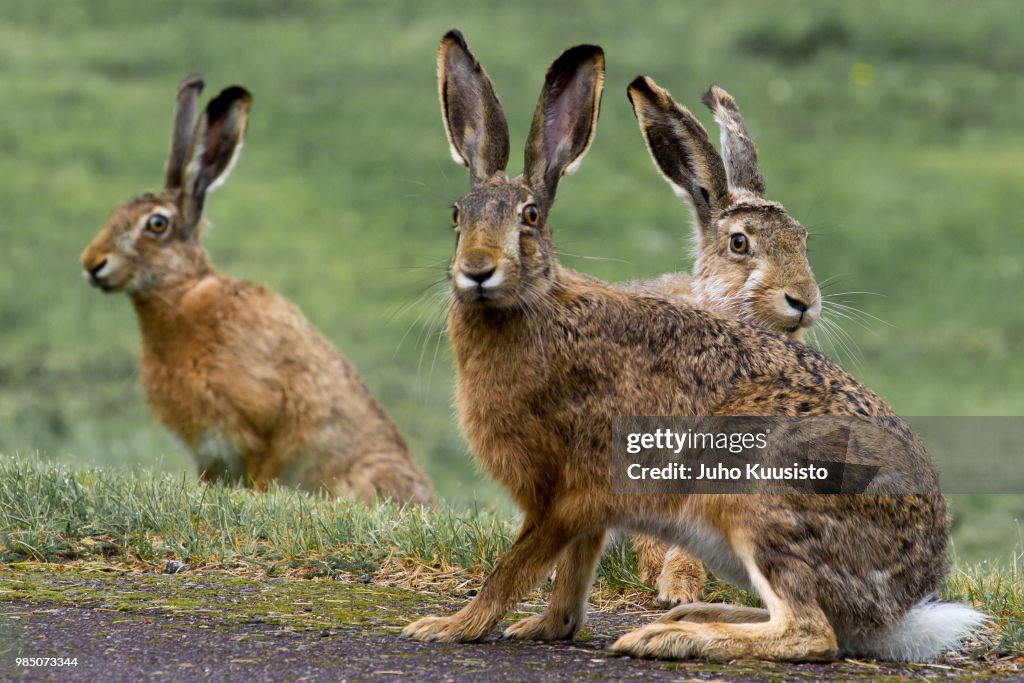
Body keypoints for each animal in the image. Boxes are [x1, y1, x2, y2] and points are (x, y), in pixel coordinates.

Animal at [79, 75, 434, 506]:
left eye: (157, 224)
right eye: (115, 213)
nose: (91, 264)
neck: (182, 293)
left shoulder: (264, 431)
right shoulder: (212, 453)